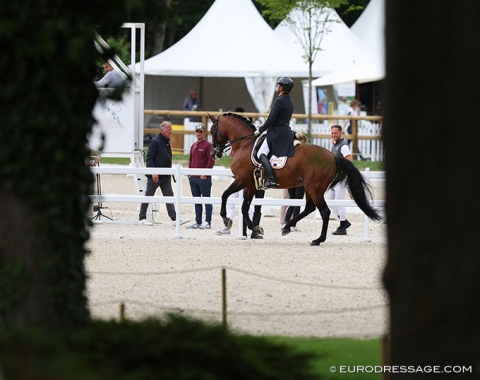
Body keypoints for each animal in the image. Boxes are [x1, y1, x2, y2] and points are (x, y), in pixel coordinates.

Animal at [208, 112, 380, 246]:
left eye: (212, 130)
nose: (214, 153)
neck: (245, 144)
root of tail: (333, 156)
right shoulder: (250, 185)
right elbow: (244, 207)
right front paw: (255, 229)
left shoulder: (241, 180)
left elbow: (224, 195)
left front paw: (226, 219)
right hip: (311, 188)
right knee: (309, 208)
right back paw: (287, 227)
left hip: (314, 188)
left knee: (324, 211)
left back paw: (318, 239)